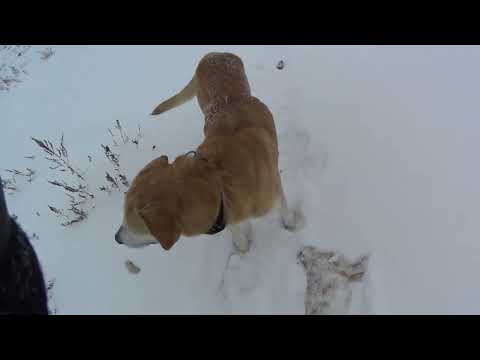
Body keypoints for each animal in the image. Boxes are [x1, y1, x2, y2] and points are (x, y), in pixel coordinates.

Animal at [115, 52, 296, 252]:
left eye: (133, 225)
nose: (116, 238)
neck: (218, 182)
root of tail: (214, 55)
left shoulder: (274, 193)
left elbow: (283, 208)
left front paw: (289, 223)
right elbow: (237, 230)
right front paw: (242, 244)